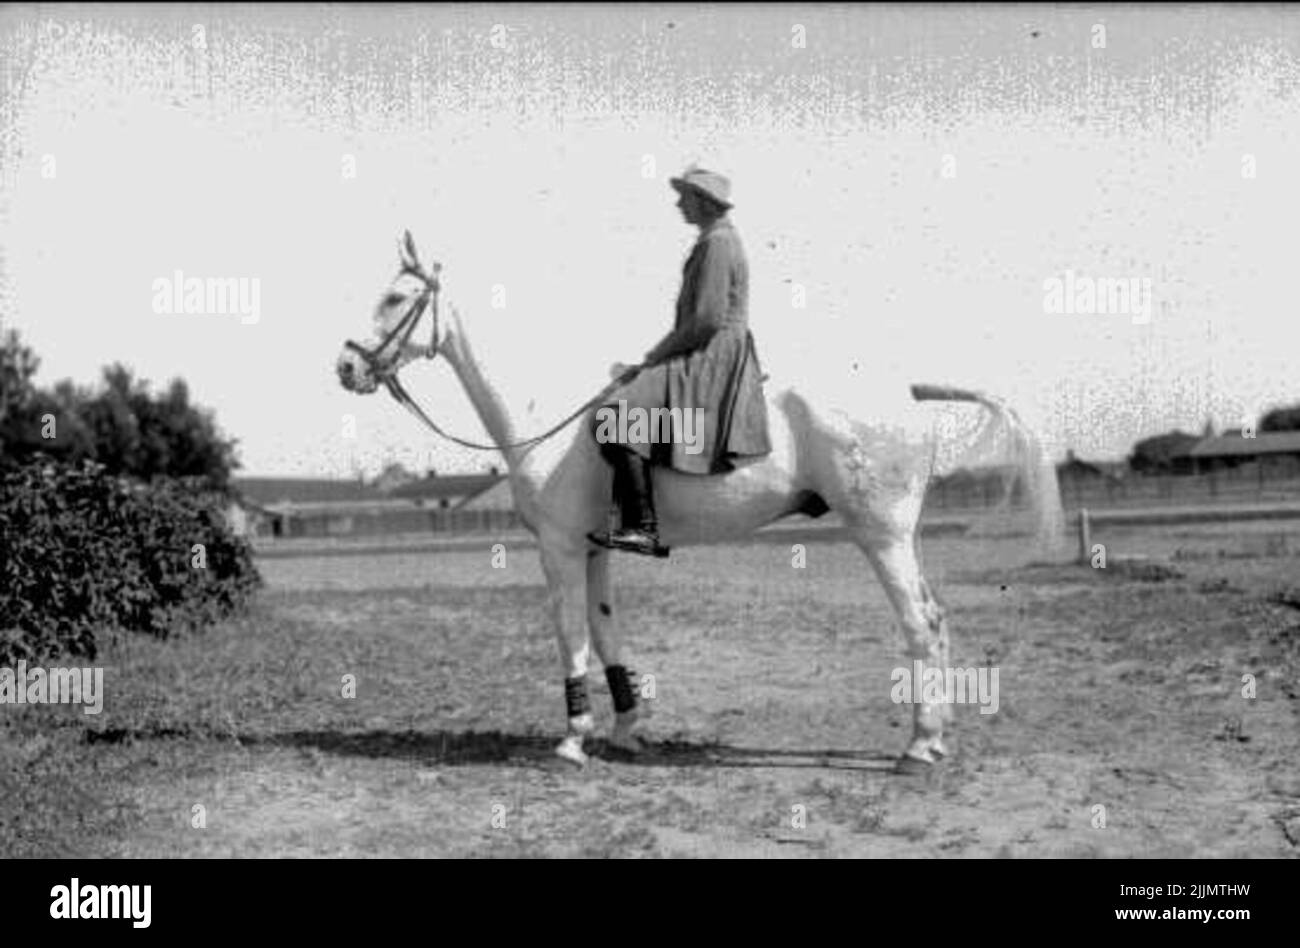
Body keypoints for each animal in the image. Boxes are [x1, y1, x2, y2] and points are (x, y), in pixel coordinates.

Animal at [338, 232, 1066, 775]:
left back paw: (917, 747)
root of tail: (909, 391)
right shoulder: (595, 549)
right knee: (936, 620)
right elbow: (605, 630)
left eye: (396, 296)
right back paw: (935, 736)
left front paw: (572, 741)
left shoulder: (559, 548)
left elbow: (571, 635)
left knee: (919, 623)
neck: (551, 416)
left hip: (880, 536)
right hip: (901, 537)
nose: (345, 368)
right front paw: (627, 728)